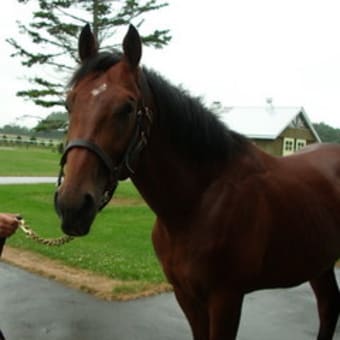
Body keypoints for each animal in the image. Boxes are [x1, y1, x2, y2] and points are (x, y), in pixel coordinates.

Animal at [54, 22, 340, 338]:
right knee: (328, 307)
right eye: (69, 103)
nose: (72, 206)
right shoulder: (186, 295)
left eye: (127, 108)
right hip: (320, 262)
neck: (198, 203)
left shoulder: (226, 299)